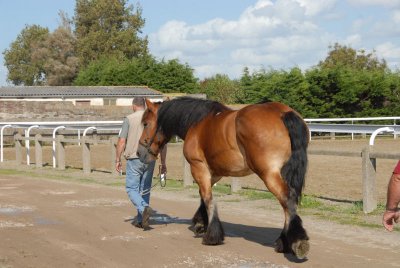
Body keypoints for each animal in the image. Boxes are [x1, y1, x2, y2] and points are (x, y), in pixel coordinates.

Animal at [137, 97, 310, 258]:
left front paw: (211, 235)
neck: (197, 123)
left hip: (269, 174)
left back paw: (297, 242)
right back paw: (285, 242)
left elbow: (208, 198)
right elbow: (203, 196)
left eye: (145, 123)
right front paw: (201, 223)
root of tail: (282, 113)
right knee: (289, 204)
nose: (139, 152)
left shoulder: (198, 168)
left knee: (287, 199)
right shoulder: (214, 173)